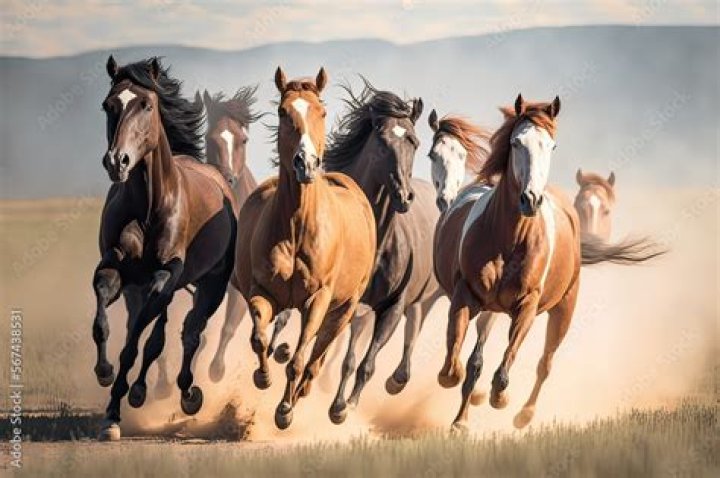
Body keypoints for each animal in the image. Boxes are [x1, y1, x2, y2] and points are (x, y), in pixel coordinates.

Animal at [92, 56, 237, 440]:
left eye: (146, 104)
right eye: (108, 105)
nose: (117, 161)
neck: (148, 205)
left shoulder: (165, 275)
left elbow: (138, 343)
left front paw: (118, 402)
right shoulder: (115, 268)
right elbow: (107, 320)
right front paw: (106, 378)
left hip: (212, 285)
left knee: (190, 333)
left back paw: (188, 393)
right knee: (162, 332)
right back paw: (142, 390)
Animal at [197, 87, 293, 382]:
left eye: (243, 140)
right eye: (209, 138)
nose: (227, 179)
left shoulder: (241, 289)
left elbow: (228, 328)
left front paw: (216, 371)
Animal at [232, 67, 376, 430]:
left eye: (321, 112)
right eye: (283, 112)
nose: (305, 164)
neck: (297, 228)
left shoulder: (319, 300)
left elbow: (300, 360)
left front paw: (284, 409)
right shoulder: (263, 291)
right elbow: (259, 338)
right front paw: (263, 377)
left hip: (344, 309)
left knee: (315, 358)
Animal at [318, 80, 443, 424]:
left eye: (414, 142)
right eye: (382, 142)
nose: (404, 196)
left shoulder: (391, 308)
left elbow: (365, 364)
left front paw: (343, 407)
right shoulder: (348, 305)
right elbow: (343, 357)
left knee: (414, 325)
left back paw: (396, 381)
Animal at [433, 94, 664, 432]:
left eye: (551, 146)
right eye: (516, 142)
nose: (531, 199)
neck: (510, 237)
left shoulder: (527, 305)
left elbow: (506, 363)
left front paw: (499, 397)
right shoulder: (467, 295)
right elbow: (455, 366)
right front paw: (464, 406)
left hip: (564, 309)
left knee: (545, 363)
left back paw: (524, 414)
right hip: (492, 310)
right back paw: (465, 415)